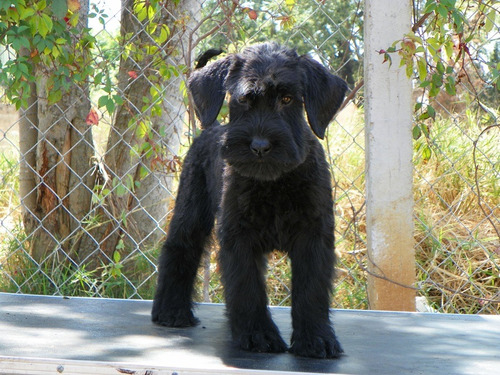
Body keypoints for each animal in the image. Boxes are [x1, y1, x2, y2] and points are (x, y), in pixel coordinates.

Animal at [152, 42, 348, 360]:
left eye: (287, 99)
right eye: (243, 99)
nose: (259, 146)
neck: (274, 181)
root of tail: (210, 127)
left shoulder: (313, 236)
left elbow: (311, 290)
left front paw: (317, 339)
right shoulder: (239, 236)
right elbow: (247, 286)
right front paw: (258, 335)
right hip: (190, 213)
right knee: (180, 249)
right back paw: (171, 311)